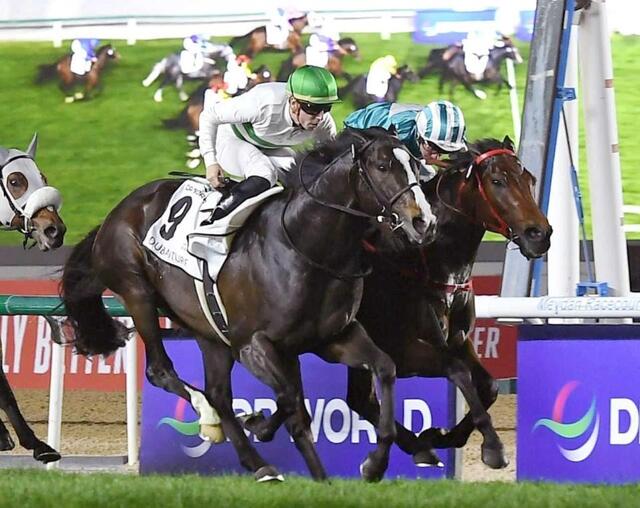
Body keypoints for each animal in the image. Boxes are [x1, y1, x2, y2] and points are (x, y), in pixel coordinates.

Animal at [60, 127, 437, 482]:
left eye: (415, 165)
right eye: (383, 166)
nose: (424, 222)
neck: (307, 246)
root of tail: (117, 211)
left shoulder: (332, 338)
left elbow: (382, 369)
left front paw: (374, 464)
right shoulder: (253, 344)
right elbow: (291, 399)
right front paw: (263, 425)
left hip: (207, 330)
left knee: (219, 392)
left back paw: (259, 464)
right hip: (138, 292)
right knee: (164, 372)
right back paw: (210, 419)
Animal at [346, 136, 552, 470]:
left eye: (530, 179)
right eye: (497, 181)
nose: (539, 235)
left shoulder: (458, 341)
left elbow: (489, 386)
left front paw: (441, 436)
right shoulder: (402, 350)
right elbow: (460, 374)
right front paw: (491, 448)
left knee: (359, 399)